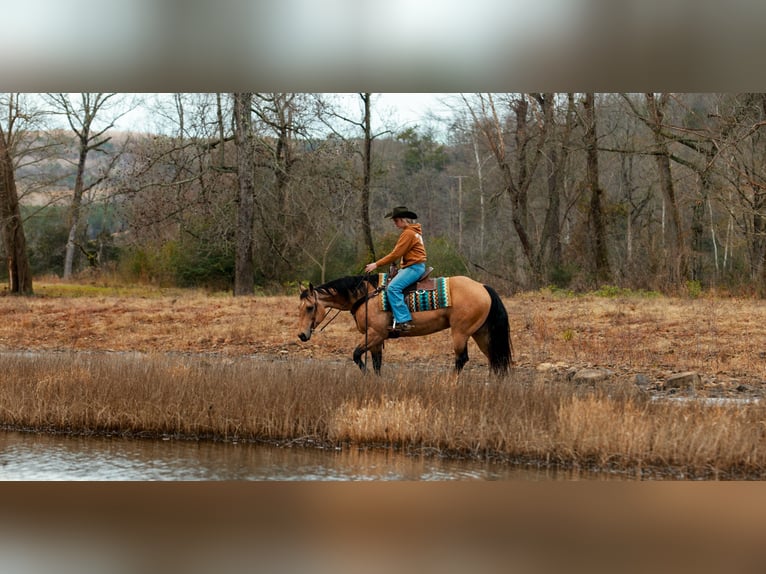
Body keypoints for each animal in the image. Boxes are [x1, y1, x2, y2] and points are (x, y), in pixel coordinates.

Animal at [297, 274, 512, 375]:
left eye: (309, 307)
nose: (301, 335)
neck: (367, 295)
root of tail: (483, 287)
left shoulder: (375, 334)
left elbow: (357, 355)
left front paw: (366, 375)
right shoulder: (376, 339)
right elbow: (377, 363)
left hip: (460, 332)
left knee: (462, 359)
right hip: (481, 333)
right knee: (495, 359)